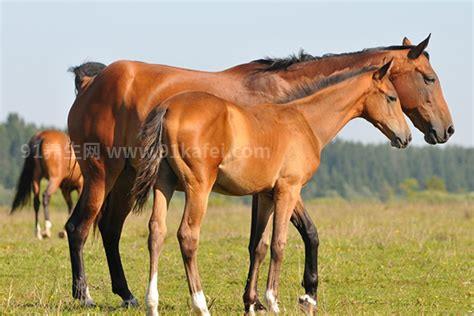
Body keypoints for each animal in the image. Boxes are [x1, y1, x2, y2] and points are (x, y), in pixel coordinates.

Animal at [66, 35, 456, 308]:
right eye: (429, 78)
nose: (446, 130)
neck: (294, 105)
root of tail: (90, 83)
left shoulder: (264, 189)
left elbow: (265, 242)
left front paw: (263, 298)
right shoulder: (285, 186)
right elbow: (292, 238)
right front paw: (296, 294)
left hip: (133, 178)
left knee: (120, 229)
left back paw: (131, 295)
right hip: (106, 174)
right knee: (82, 227)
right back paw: (87, 295)